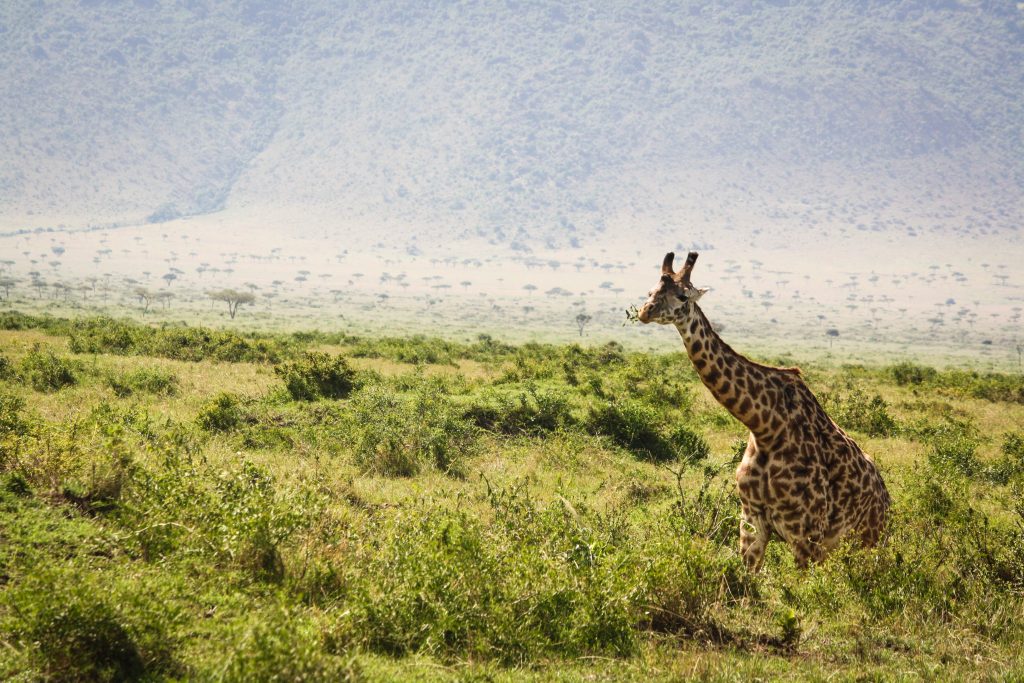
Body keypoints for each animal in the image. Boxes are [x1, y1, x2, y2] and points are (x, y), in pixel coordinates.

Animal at [638, 250, 888, 573]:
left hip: (867, 540)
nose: (645, 311)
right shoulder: (751, 519)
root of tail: (886, 498)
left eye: (682, 295)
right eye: (651, 291)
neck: (766, 426)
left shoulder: (807, 533)